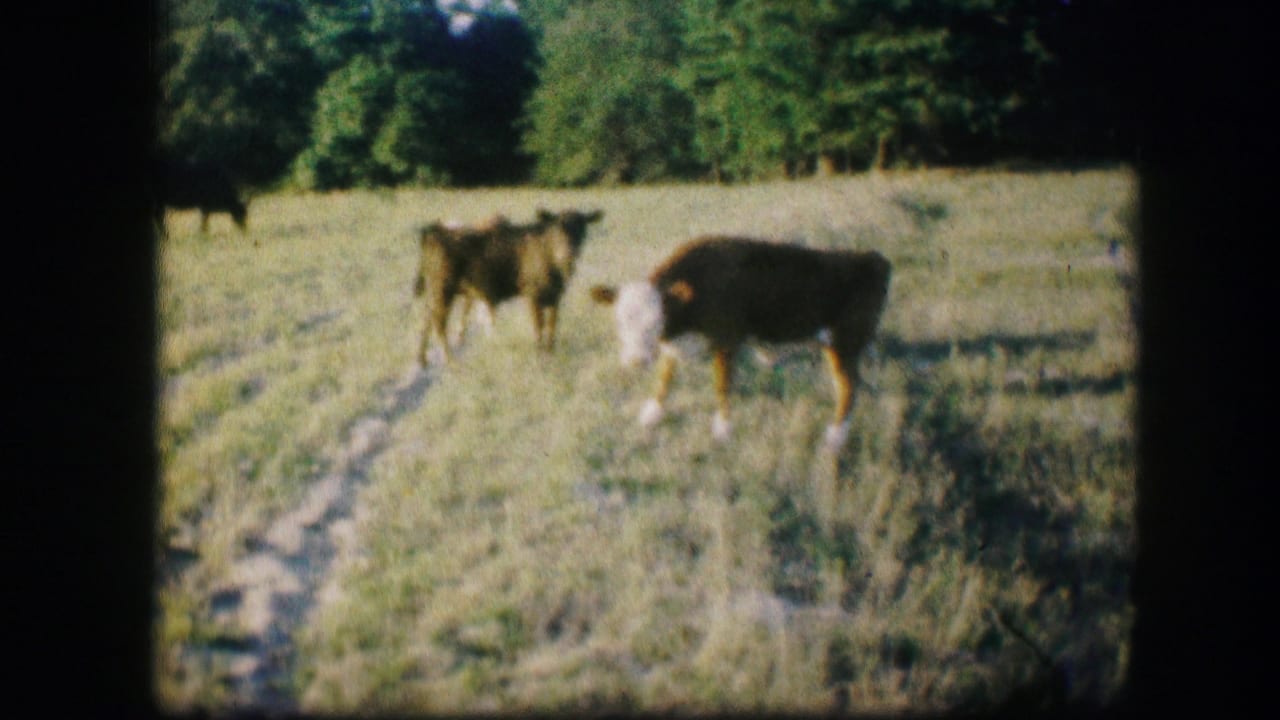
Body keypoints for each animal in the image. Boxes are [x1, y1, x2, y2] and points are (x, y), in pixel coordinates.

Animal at [413, 208, 604, 365]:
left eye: (582, 230)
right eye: (556, 229)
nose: (568, 254)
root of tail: (435, 231)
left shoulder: (555, 297)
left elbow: (552, 327)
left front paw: (550, 354)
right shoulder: (533, 295)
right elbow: (539, 327)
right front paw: (539, 356)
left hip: (434, 292)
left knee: (426, 318)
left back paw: (422, 359)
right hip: (443, 290)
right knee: (438, 323)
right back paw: (451, 362)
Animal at [590, 236, 891, 449]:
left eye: (656, 321)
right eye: (619, 321)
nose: (636, 361)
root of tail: (872, 258)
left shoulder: (726, 339)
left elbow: (722, 385)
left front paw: (723, 429)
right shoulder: (676, 345)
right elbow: (664, 378)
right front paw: (651, 413)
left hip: (844, 342)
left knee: (848, 388)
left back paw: (835, 439)